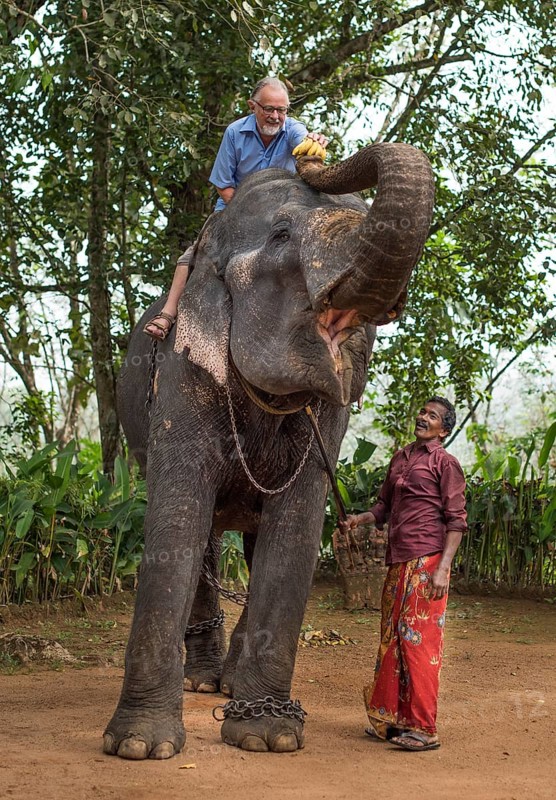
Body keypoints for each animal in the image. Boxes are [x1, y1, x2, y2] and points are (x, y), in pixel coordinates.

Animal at [104, 142, 434, 759]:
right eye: (281, 235)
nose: (312, 156)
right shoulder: (181, 373)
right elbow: (176, 524)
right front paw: (139, 748)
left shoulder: (330, 415)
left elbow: (296, 533)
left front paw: (268, 737)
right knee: (208, 539)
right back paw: (203, 682)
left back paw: (233, 687)